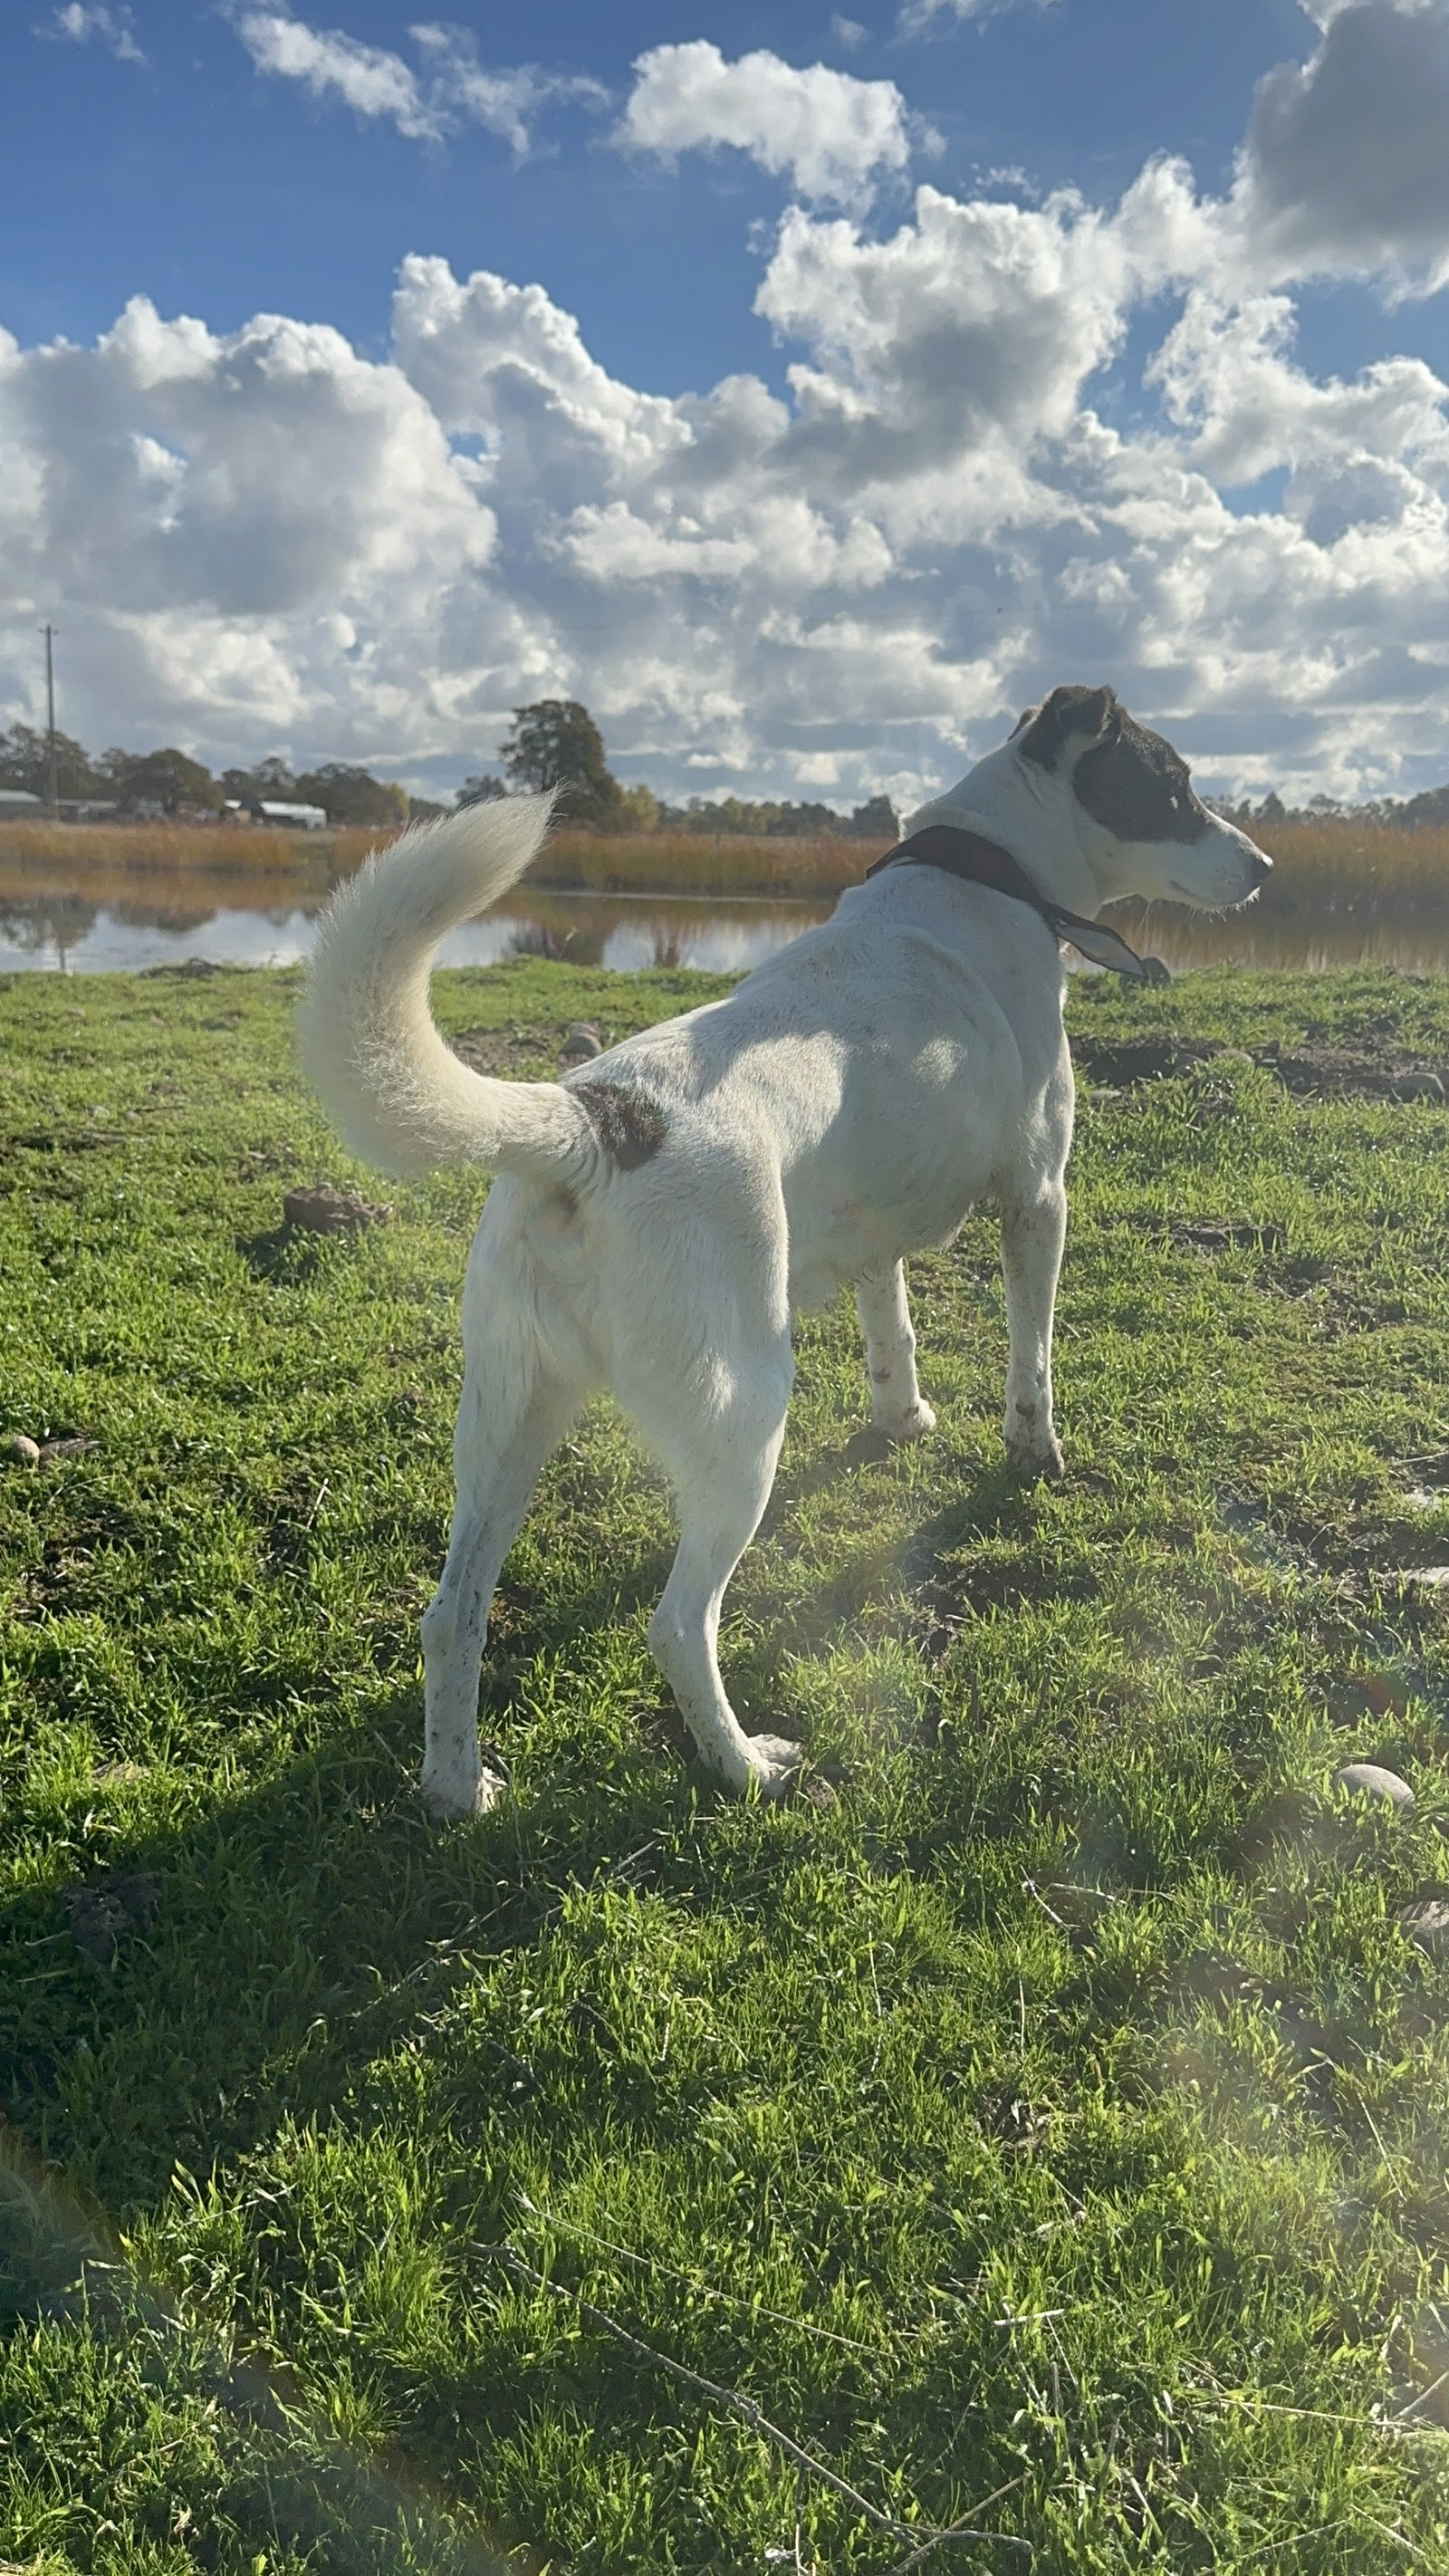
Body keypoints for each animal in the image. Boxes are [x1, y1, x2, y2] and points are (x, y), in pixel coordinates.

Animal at [297, 685, 1271, 1813]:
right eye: (1173, 786)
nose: (1265, 868)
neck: (985, 874)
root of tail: (590, 1122)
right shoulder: (1038, 1199)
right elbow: (1032, 1360)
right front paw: (1035, 1452)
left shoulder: (870, 1232)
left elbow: (892, 1336)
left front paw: (903, 1422)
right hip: (742, 1414)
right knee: (678, 1625)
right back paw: (743, 1767)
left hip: (509, 1414)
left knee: (452, 1614)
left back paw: (457, 1790)